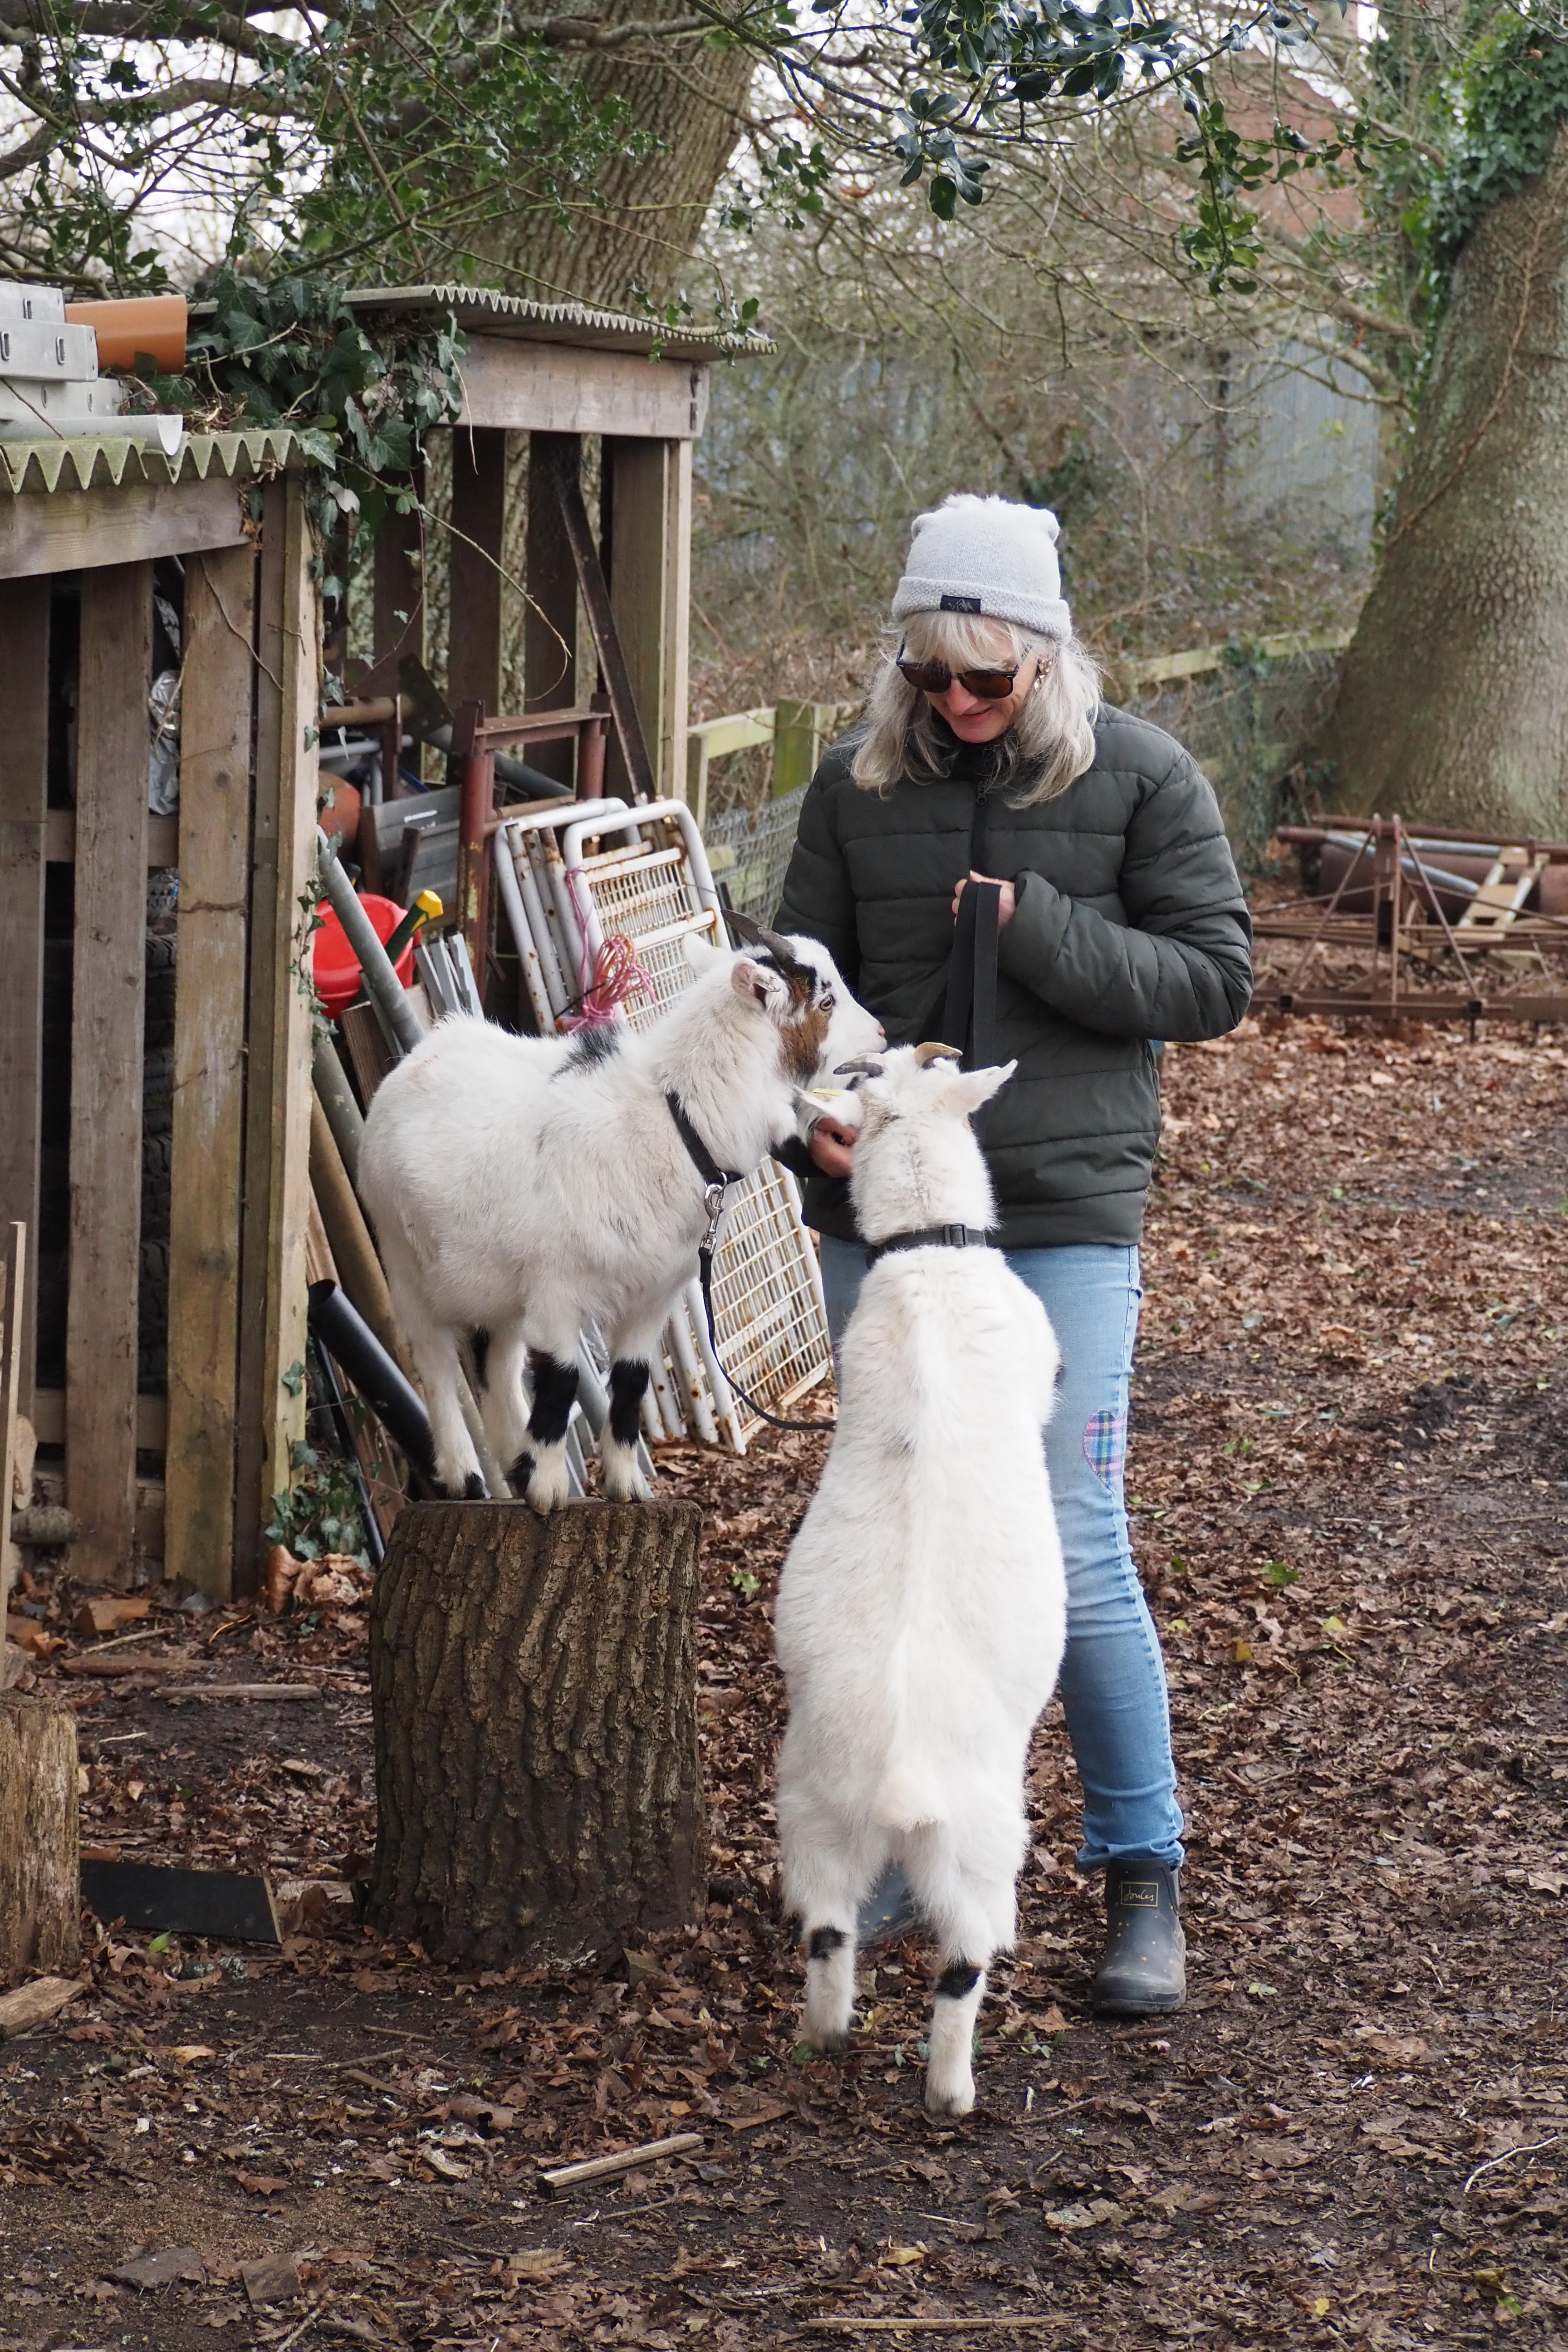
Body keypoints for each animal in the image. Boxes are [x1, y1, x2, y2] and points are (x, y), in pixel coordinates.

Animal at [358, 927, 882, 1511]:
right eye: (826, 1001)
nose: (882, 1034)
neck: (677, 1120)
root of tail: (420, 1055)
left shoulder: (653, 1296)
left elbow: (631, 1382)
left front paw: (625, 1488)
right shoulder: (557, 1289)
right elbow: (561, 1381)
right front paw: (549, 1493)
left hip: (496, 1288)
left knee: (497, 1366)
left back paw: (516, 1464)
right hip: (403, 1261)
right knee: (435, 1364)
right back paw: (464, 1477)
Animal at [774, 1043, 1066, 2117]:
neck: (930, 1252)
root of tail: (899, 1772)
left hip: (813, 1813)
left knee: (826, 1933)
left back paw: (823, 2037)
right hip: (976, 1836)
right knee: (963, 1961)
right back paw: (952, 2089)